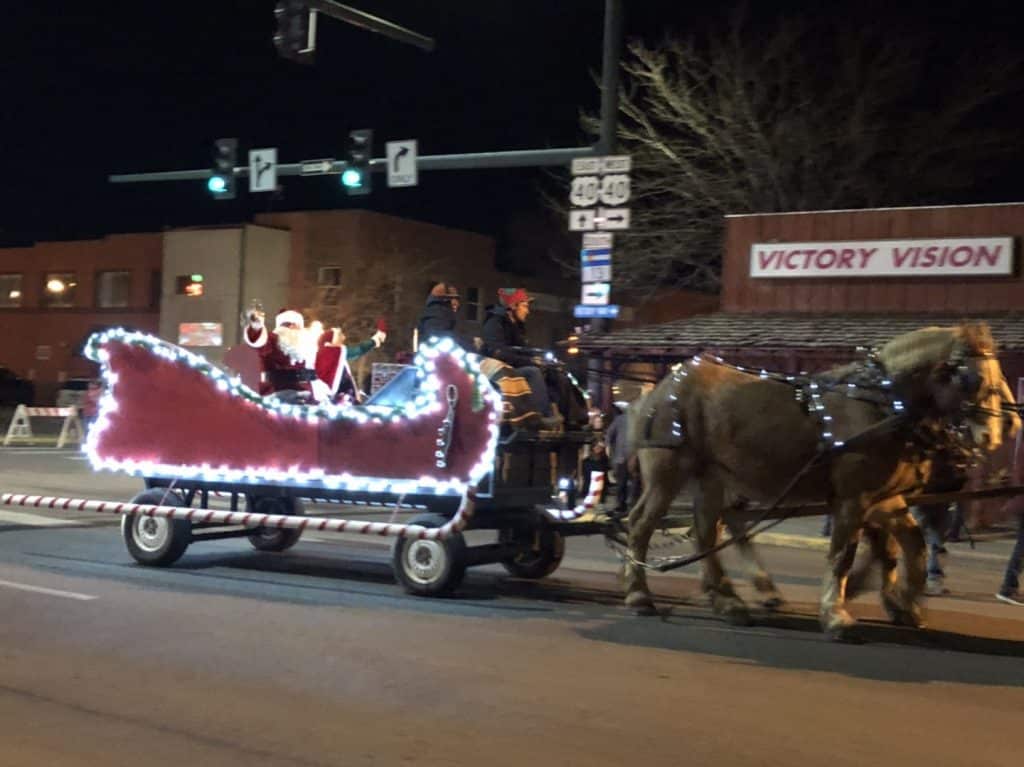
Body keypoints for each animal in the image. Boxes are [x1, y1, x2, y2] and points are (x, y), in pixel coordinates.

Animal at [622, 322, 1019, 638]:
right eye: (972, 378)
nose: (1004, 430)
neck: (883, 403)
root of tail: (666, 382)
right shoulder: (853, 498)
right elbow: (843, 554)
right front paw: (836, 615)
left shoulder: (884, 499)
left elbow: (906, 546)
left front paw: (903, 604)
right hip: (668, 472)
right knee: (641, 525)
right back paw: (640, 595)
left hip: (713, 478)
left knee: (707, 529)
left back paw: (731, 601)